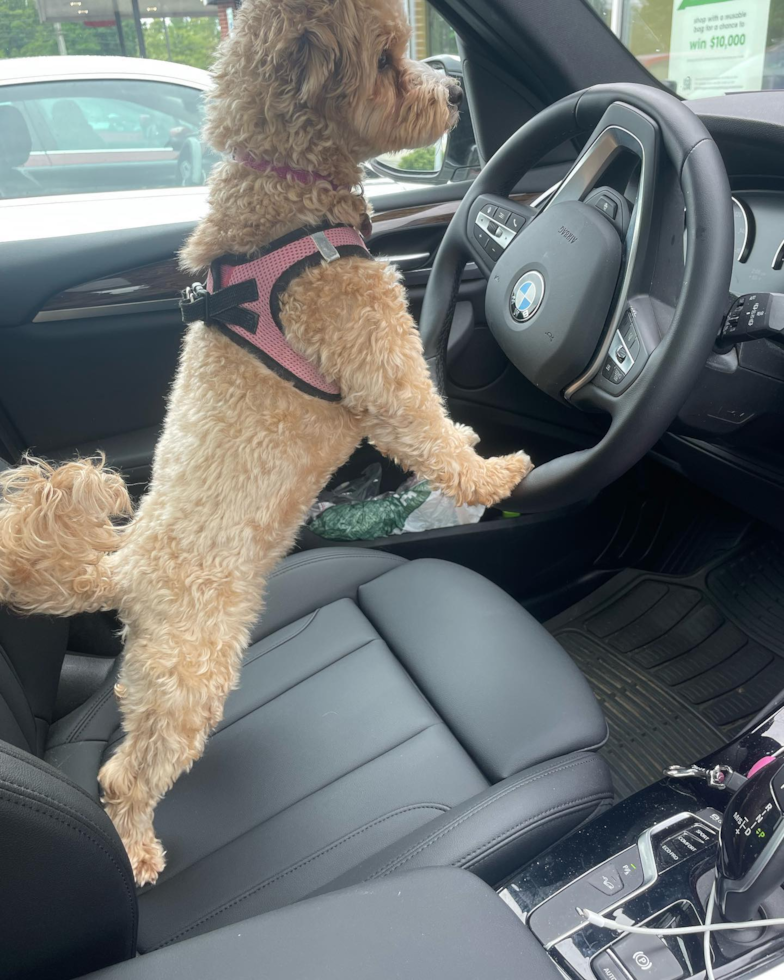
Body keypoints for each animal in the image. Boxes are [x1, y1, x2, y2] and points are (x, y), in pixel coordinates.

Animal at [0, 0, 532, 880]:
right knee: (122, 775)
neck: (288, 203)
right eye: (386, 60)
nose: (456, 94)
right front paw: (493, 472)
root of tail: (126, 563)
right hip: (192, 666)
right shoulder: (378, 363)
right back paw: (137, 849)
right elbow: (425, 430)